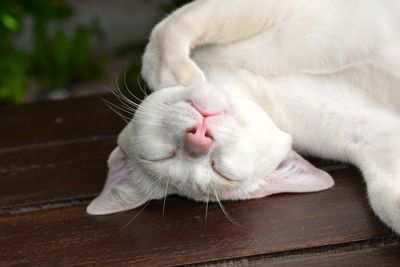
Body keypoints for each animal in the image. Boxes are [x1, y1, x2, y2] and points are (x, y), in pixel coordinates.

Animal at [87, 0, 400, 234]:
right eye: (164, 156)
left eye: (220, 170)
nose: (199, 139)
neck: (261, 84)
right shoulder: (372, 133)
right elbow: (383, 196)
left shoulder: (270, 7)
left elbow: (171, 27)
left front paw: (177, 76)